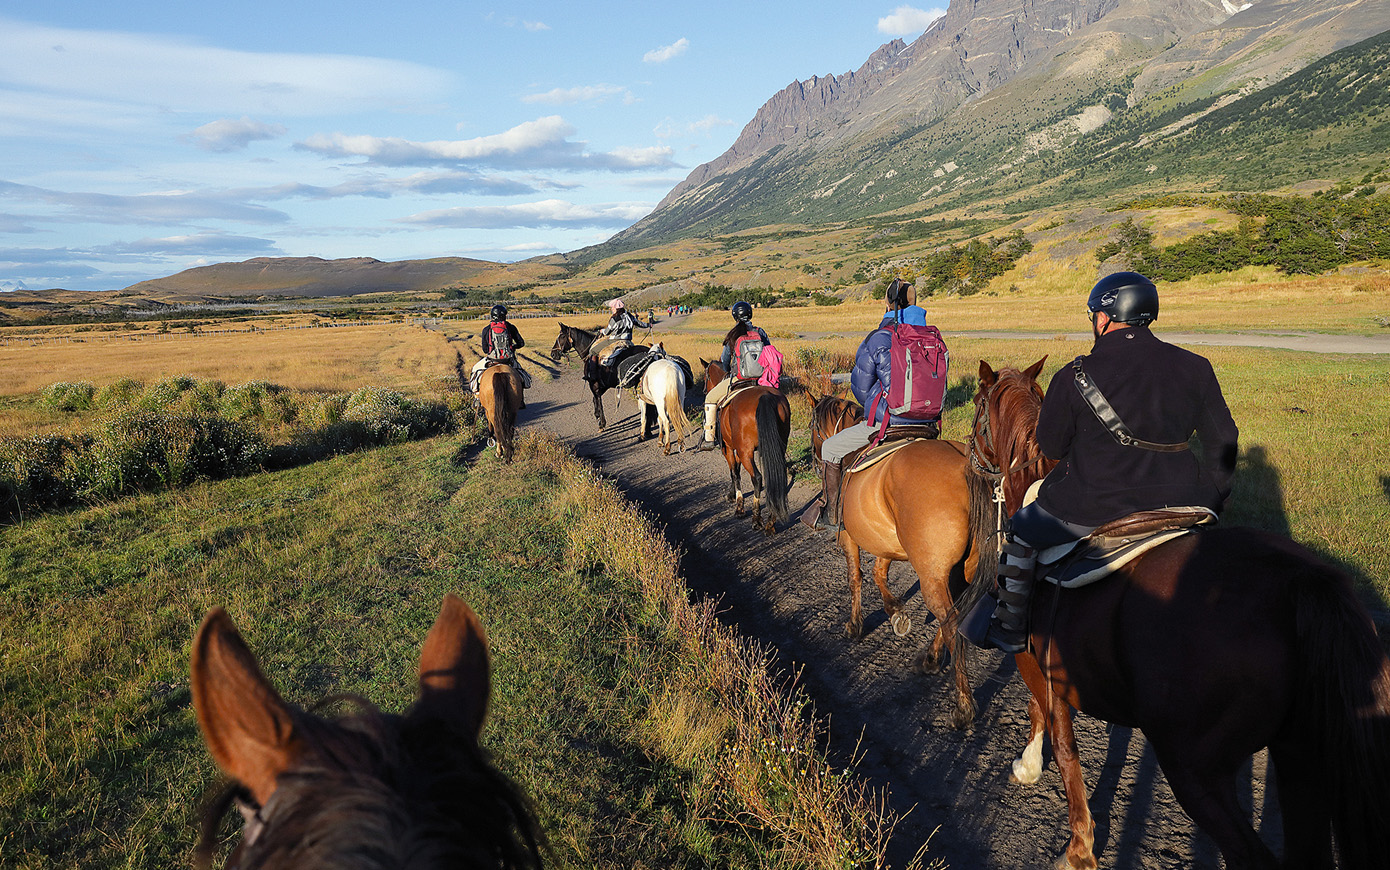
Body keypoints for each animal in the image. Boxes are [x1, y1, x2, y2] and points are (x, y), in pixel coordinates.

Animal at [700, 360, 791, 535]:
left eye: (707, 376)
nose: (703, 390)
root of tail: (766, 396)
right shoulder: (737, 448)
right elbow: (736, 469)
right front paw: (732, 494)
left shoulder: (728, 448)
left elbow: (734, 473)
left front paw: (739, 507)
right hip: (777, 446)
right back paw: (771, 522)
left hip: (745, 452)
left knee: (757, 478)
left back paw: (756, 519)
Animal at [967, 359, 1390, 870]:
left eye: (976, 407)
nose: (967, 454)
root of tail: (1300, 581)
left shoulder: (1037, 663)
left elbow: (1060, 740)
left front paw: (1075, 840)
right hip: (1299, 760)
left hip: (1195, 772)